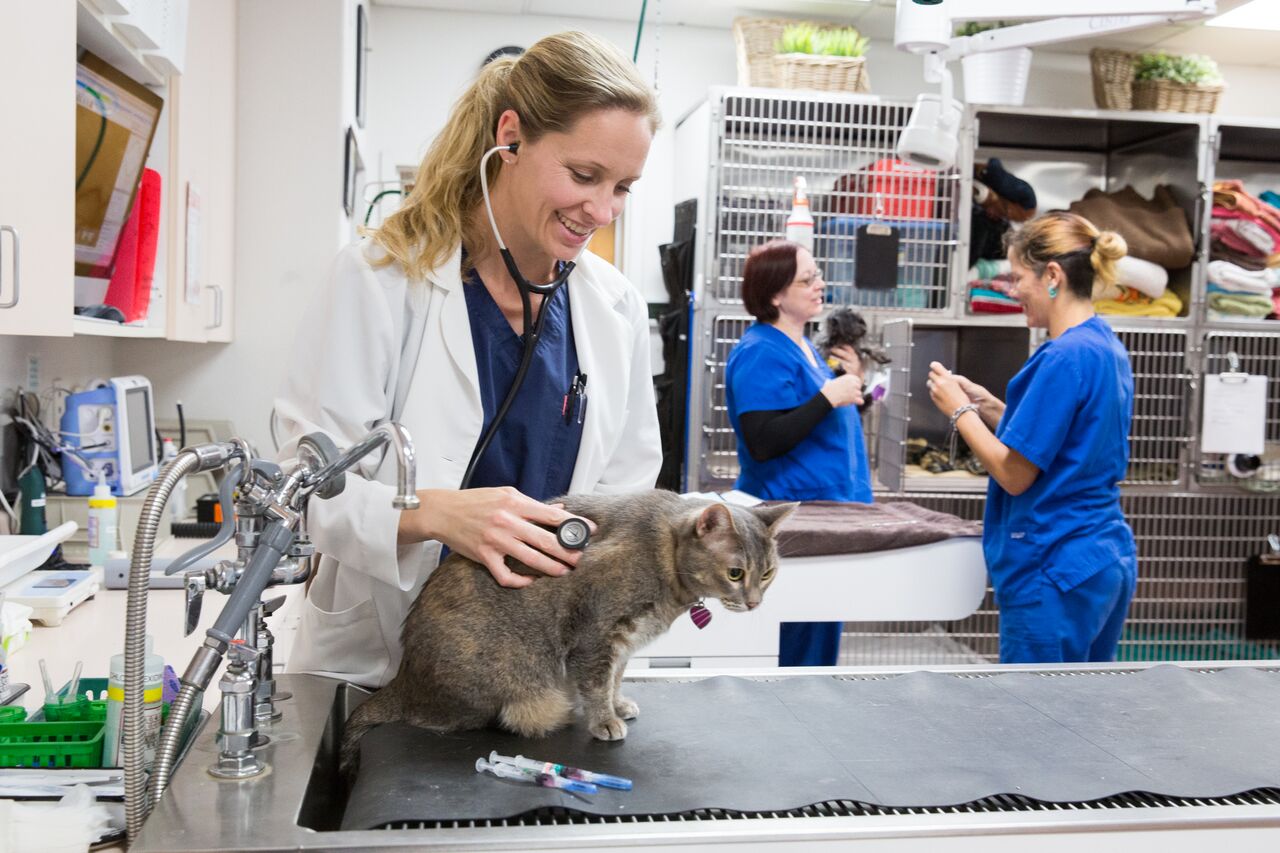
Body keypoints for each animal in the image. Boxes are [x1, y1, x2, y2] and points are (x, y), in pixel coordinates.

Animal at [345, 484, 793, 768]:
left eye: (767, 572)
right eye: (735, 573)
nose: (754, 601)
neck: (665, 555)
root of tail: (403, 681)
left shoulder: (623, 643)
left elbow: (615, 679)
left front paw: (618, 704)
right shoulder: (595, 634)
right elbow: (596, 683)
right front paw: (605, 721)